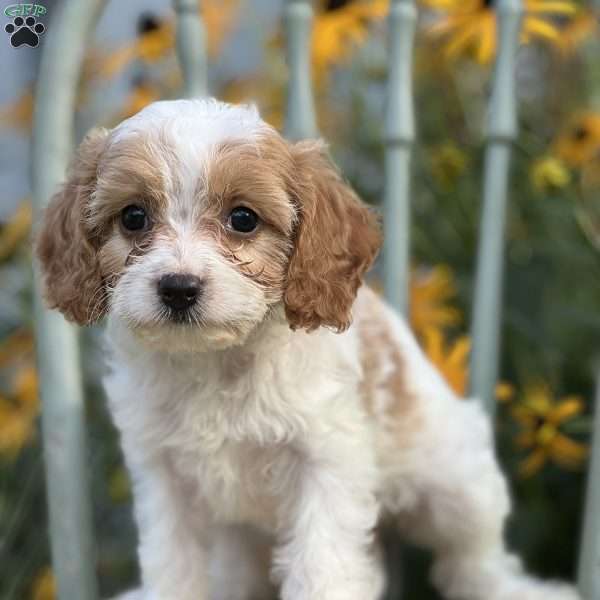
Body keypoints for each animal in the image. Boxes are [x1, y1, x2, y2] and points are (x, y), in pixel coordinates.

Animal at [35, 99, 580, 600]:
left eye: (243, 219)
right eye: (133, 217)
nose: (178, 288)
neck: (216, 360)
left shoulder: (325, 462)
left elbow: (323, 567)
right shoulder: (163, 475)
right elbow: (173, 565)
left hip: (457, 488)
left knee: (473, 558)